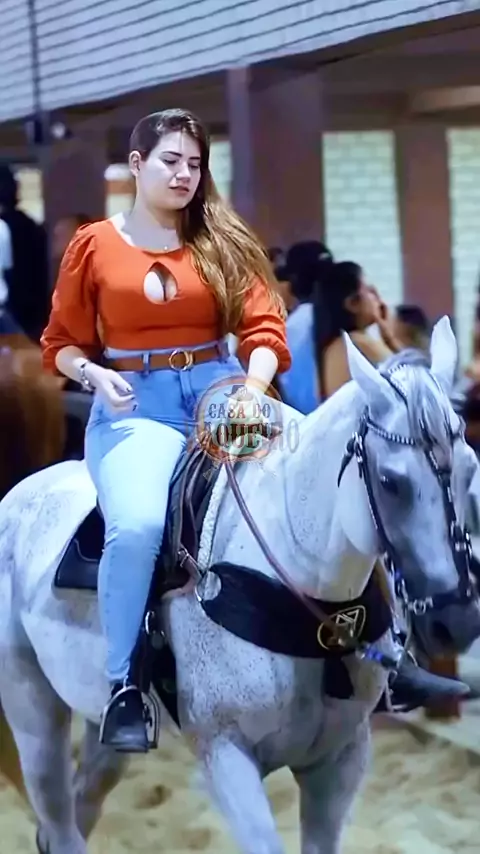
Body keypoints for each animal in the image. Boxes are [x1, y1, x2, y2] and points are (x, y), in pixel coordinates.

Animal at [0, 317, 479, 854]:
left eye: (470, 467)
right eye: (391, 481)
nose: (455, 621)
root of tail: (20, 497)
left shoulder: (341, 759)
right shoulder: (225, 755)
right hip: (31, 707)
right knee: (57, 815)